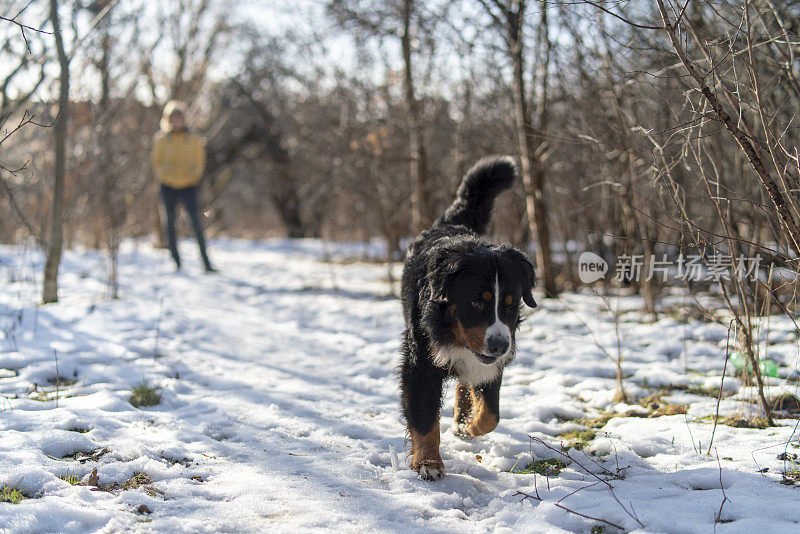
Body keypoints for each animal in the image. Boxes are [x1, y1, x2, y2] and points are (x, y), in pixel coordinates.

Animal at [400, 155, 536, 482]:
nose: (499, 345)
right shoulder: (420, 362)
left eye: (510, 305)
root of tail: (453, 223)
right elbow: (424, 417)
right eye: (476, 302)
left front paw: (469, 425)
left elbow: (491, 414)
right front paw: (428, 462)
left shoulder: (494, 362)